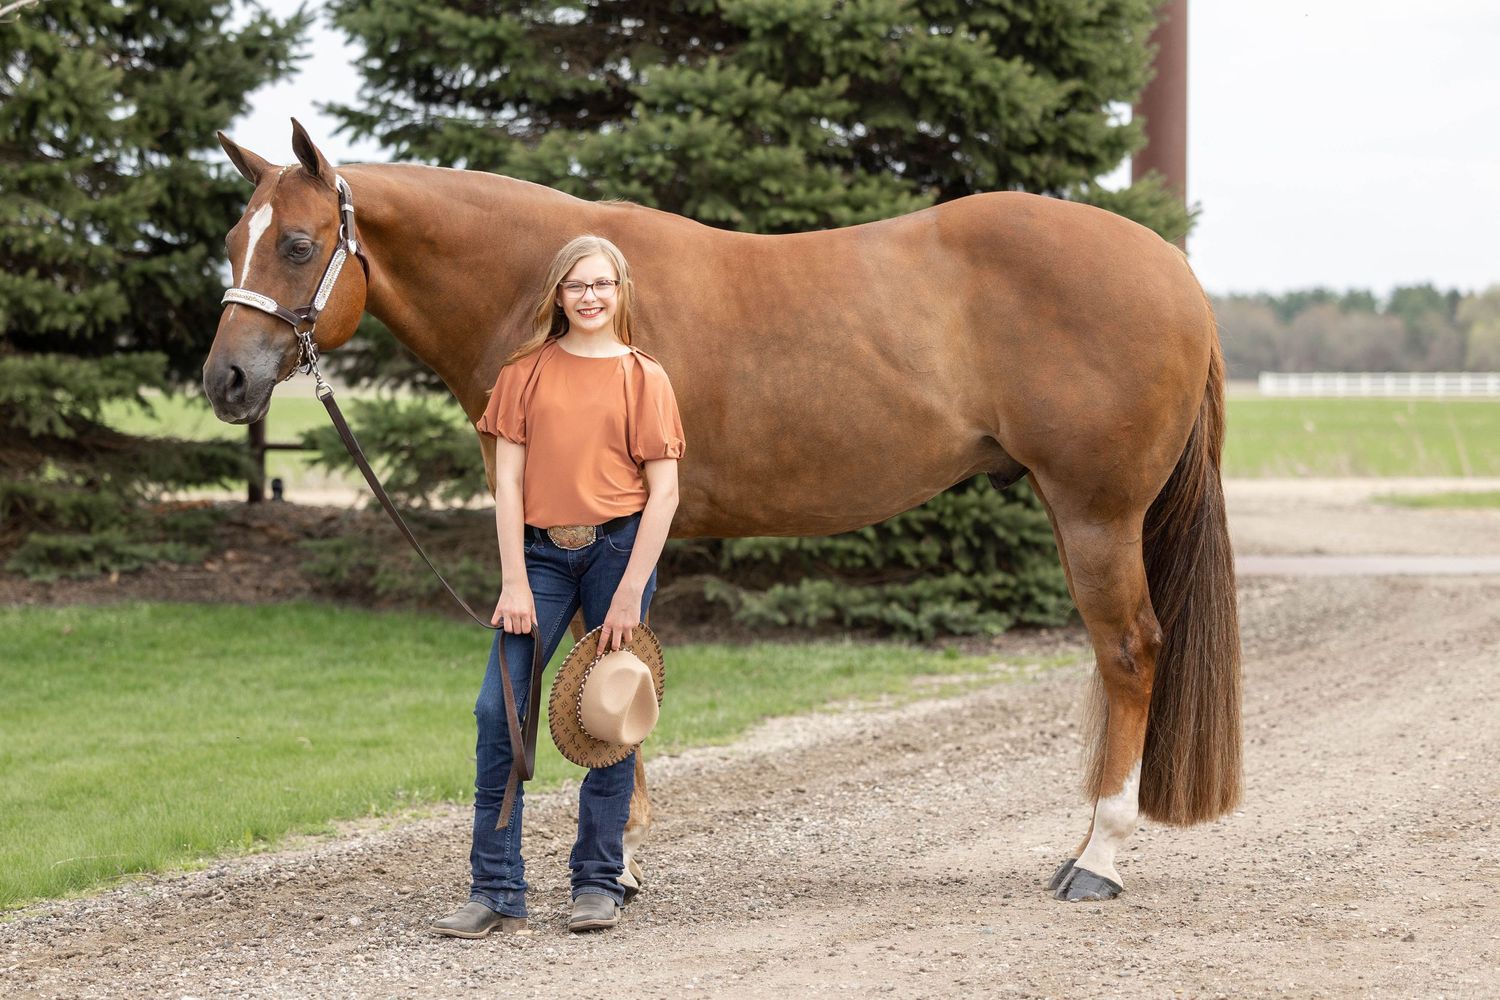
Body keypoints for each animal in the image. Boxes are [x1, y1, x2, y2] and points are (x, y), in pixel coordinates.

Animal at [203, 120, 1241, 903]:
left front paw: (616, 866)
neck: (555, 292)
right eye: (231, 243)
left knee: (1131, 652)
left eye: (297, 245)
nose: (226, 380)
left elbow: (605, 662)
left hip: (1097, 513)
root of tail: (1173, 272)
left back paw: (1097, 860)